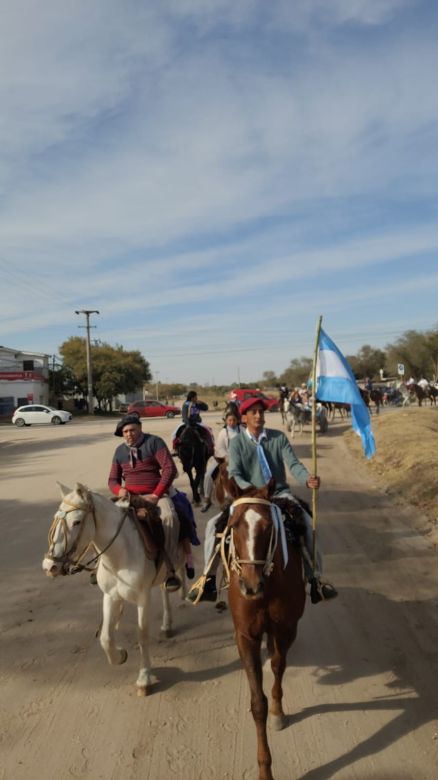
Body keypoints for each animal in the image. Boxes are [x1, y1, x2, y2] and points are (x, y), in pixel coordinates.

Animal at [41, 482, 185, 696]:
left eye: (77, 522)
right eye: (55, 520)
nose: (49, 566)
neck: (119, 556)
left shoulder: (142, 598)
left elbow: (142, 635)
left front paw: (144, 678)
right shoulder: (110, 596)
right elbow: (106, 638)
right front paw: (120, 656)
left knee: (173, 578)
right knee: (163, 590)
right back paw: (167, 625)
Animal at [224, 478, 306, 776]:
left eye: (269, 527)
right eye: (233, 525)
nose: (250, 585)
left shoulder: (286, 628)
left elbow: (279, 666)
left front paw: (278, 712)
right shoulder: (246, 636)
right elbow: (257, 703)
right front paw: (265, 770)